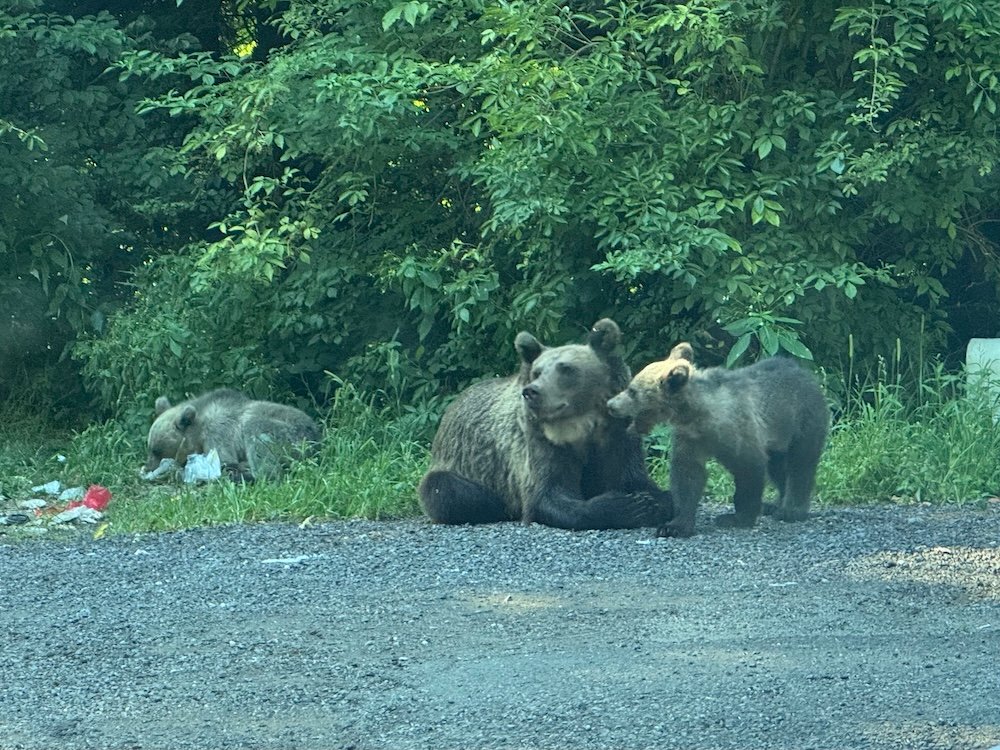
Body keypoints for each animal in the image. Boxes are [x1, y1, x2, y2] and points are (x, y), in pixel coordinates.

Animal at [144, 388, 322, 481]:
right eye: (150, 447)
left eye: (157, 450)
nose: (148, 466)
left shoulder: (218, 434)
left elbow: (225, 461)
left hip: (290, 435)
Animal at [418, 319, 673, 530]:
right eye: (537, 372)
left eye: (566, 368)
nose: (532, 392)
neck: (583, 426)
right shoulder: (538, 442)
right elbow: (545, 494)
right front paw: (626, 505)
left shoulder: (618, 435)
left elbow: (635, 478)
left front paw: (652, 501)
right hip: (459, 465)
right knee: (445, 491)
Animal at [606, 342, 829, 537]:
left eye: (632, 390)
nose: (611, 405)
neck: (699, 414)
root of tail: (806, 372)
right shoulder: (690, 437)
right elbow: (687, 475)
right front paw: (675, 526)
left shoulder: (738, 430)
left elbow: (749, 469)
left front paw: (737, 517)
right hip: (778, 437)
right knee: (778, 467)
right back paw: (774, 505)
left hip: (804, 420)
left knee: (800, 465)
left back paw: (791, 510)